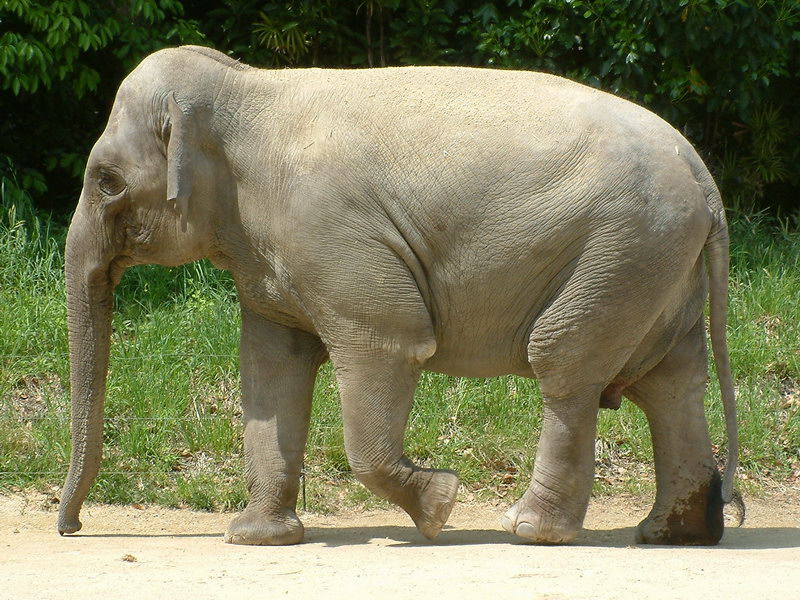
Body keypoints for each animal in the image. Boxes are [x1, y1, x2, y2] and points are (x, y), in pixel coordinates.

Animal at [58, 45, 738, 546]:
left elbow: (387, 344)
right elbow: (270, 371)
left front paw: (438, 506)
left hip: (621, 250)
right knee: (670, 383)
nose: (71, 528)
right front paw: (254, 538)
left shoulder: (331, 232)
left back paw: (530, 530)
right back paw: (672, 535)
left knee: (566, 365)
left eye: (107, 182)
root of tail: (702, 173)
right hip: (654, 263)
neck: (246, 86)